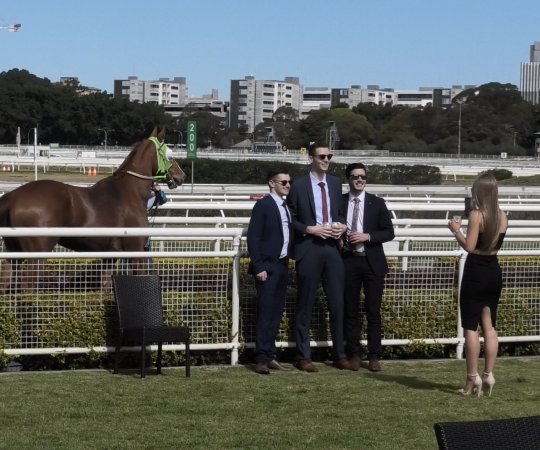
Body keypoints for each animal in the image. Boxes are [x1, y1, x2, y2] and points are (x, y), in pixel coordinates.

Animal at [0, 125, 186, 292]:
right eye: (170, 155)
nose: (181, 176)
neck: (129, 192)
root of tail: (12, 196)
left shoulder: (110, 255)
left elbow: (105, 287)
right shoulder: (135, 251)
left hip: (13, 252)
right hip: (38, 253)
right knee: (28, 287)